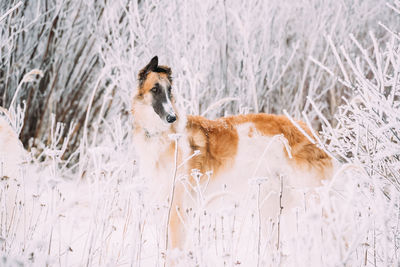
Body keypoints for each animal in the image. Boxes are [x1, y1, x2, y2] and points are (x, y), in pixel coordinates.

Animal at [132, 56, 334, 260]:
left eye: (170, 90)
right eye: (155, 89)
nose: (172, 117)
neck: (159, 135)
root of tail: (312, 135)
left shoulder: (177, 210)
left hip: (310, 202)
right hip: (272, 208)